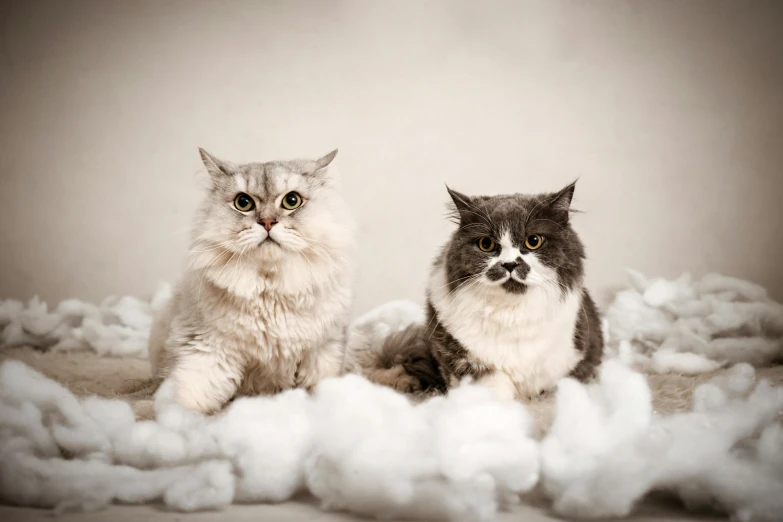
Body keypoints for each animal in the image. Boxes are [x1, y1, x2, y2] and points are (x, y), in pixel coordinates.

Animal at [148, 146, 356, 410]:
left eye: (292, 201)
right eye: (243, 203)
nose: (267, 222)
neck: (270, 290)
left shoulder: (323, 352)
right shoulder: (205, 349)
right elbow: (186, 398)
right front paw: (172, 418)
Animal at [358, 181, 604, 400]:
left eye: (533, 241)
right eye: (486, 244)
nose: (509, 264)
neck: (511, 313)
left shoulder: (569, 360)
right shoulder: (462, 358)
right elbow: (491, 391)